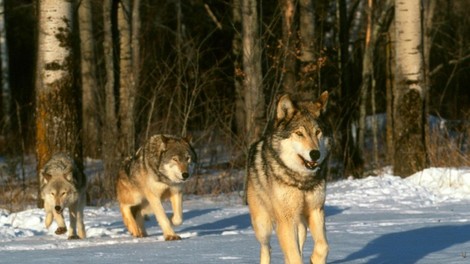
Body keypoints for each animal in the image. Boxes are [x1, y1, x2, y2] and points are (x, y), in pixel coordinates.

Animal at [246, 91, 330, 264]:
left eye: (318, 132)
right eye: (299, 133)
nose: (315, 154)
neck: (302, 180)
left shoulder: (316, 210)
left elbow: (323, 246)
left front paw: (315, 259)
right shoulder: (286, 220)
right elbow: (294, 256)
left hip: (301, 225)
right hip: (263, 225)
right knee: (267, 247)